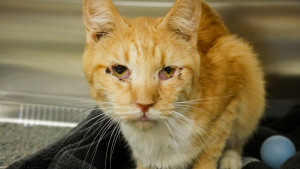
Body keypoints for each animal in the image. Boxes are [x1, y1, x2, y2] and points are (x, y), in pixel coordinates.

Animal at [81, 0, 264, 168]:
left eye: (168, 71)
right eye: (119, 70)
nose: (144, 105)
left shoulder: (230, 100)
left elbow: (210, 151)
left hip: (245, 64)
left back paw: (231, 159)